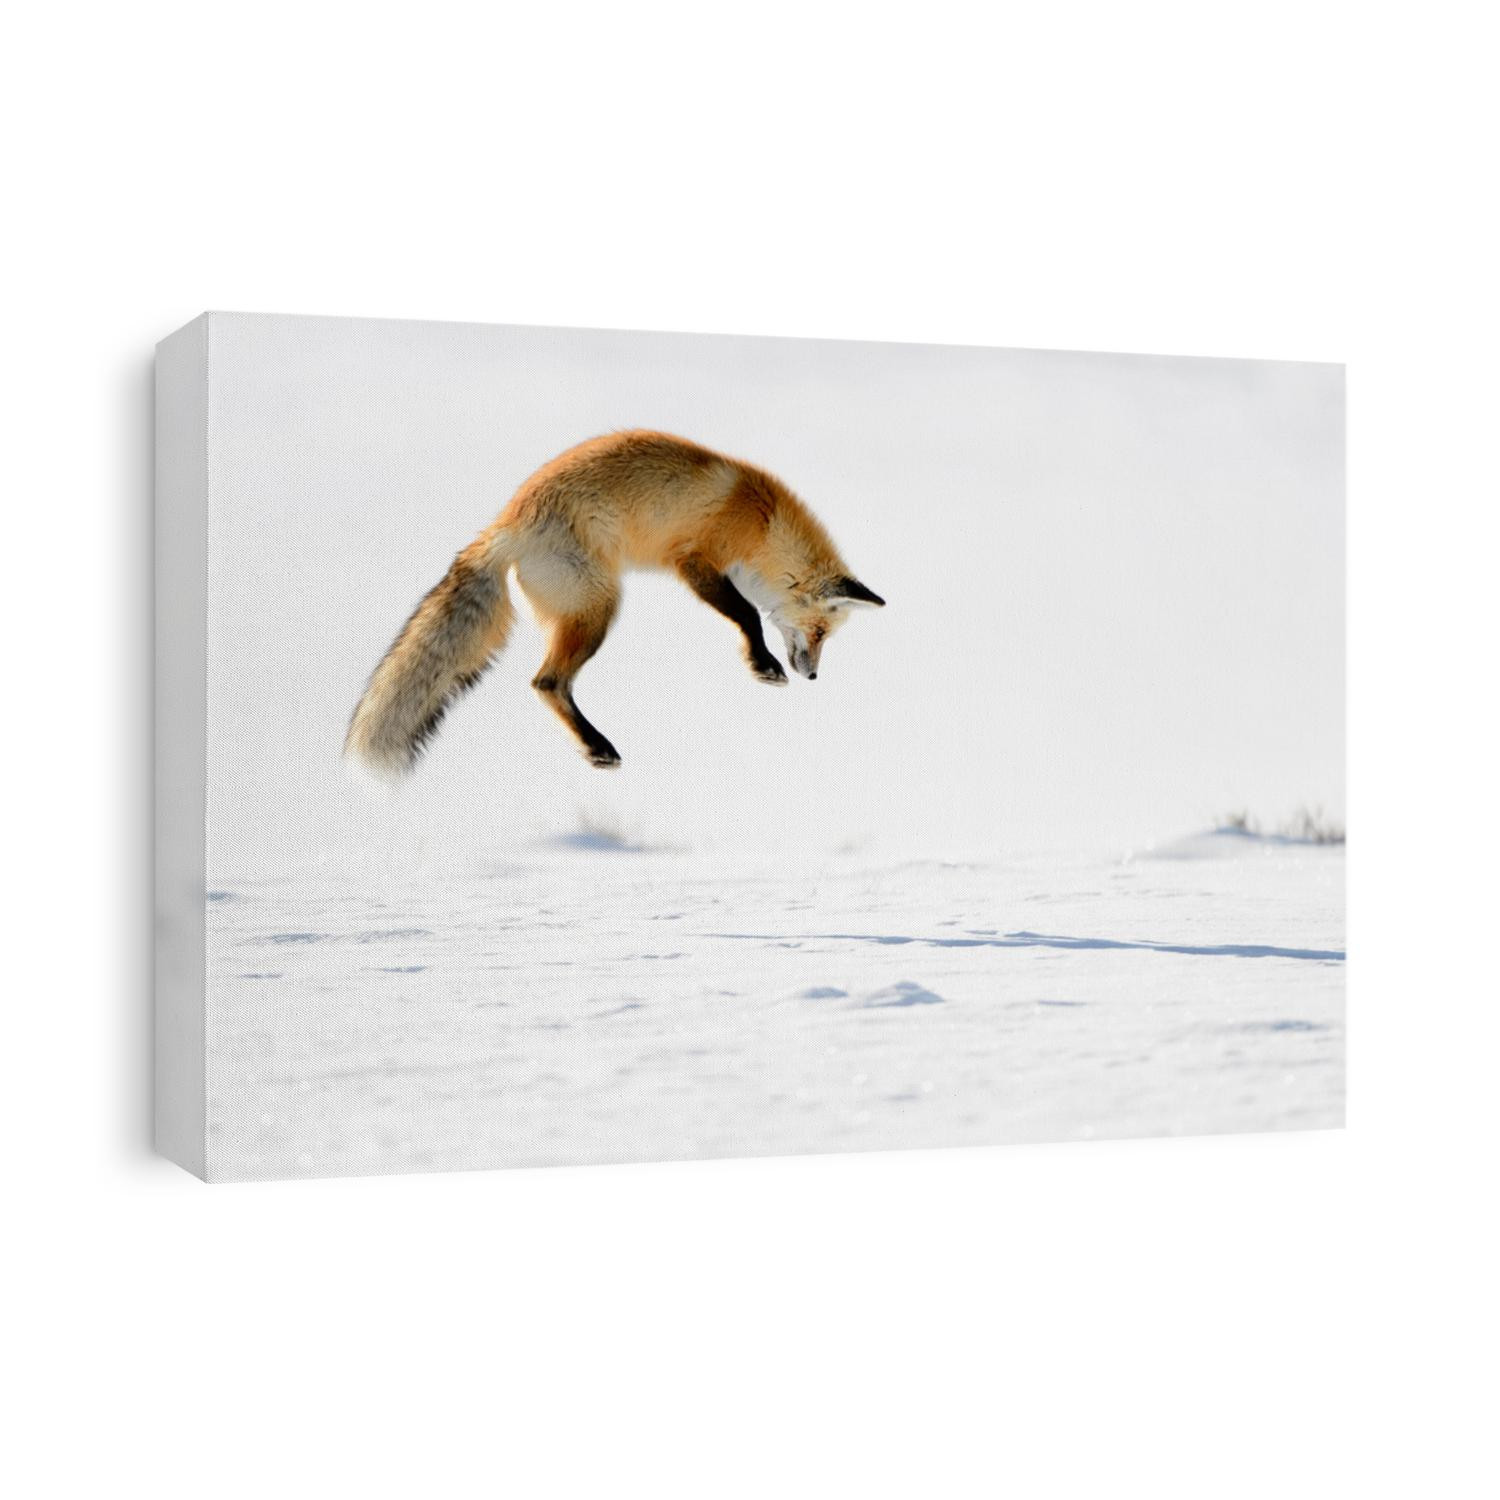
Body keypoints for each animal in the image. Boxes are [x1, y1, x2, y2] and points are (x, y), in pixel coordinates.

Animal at [345, 430, 885, 773]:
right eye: (819, 632)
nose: (813, 677)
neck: (762, 522)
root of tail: (507, 522)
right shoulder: (694, 560)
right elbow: (748, 613)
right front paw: (763, 665)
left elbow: (748, 611)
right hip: (598, 609)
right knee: (548, 682)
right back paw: (598, 747)